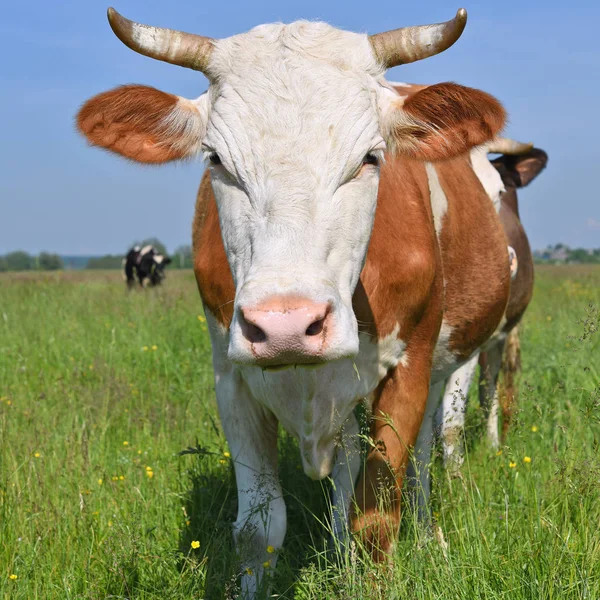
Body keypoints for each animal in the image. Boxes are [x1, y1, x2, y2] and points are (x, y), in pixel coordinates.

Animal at [77, 9, 510, 596]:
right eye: (216, 159)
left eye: (371, 158)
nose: (285, 326)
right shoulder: (232, 378)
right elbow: (259, 529)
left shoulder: (410, 368)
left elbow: (379, 519)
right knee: (347, 460)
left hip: (451, 364)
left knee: (426, 452)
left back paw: (427, 538)